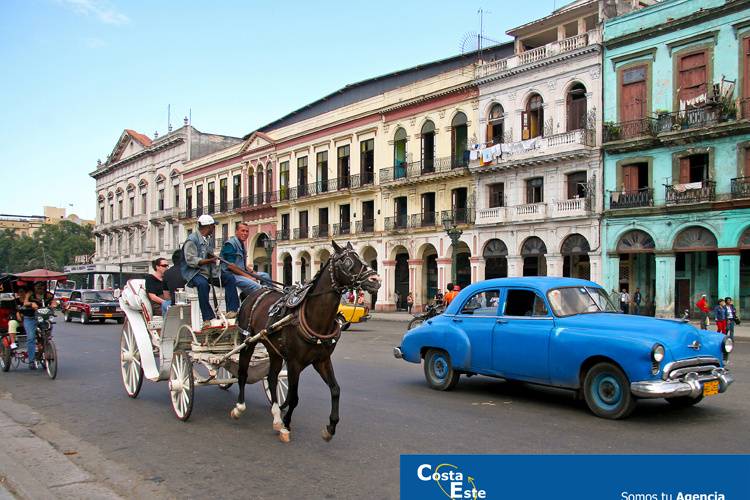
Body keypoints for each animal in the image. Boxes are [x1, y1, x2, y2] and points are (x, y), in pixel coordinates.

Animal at [229, 240, 382, 444]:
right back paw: (239, 407)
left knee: (272, 378)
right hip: (248, 341)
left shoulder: (322, 361)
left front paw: (330, 428)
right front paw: (286, 426)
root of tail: (255, 293)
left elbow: (335, 390)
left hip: (274, 350)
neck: (314, 318)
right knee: (243, 372)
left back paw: (276, 416)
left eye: (361, 258)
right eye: (348, 262)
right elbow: (294, 397)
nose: (375, 280)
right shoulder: (294, 363)